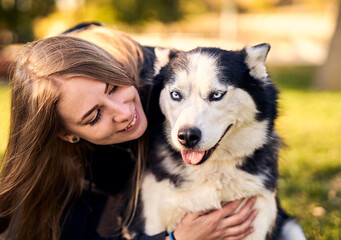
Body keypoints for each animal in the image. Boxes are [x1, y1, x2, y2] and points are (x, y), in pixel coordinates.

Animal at [131, 43, 304, 240]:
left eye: (216, 95)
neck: (214, 169)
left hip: (292, 228)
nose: (187, 136)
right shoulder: (153, 219)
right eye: (175, 95)